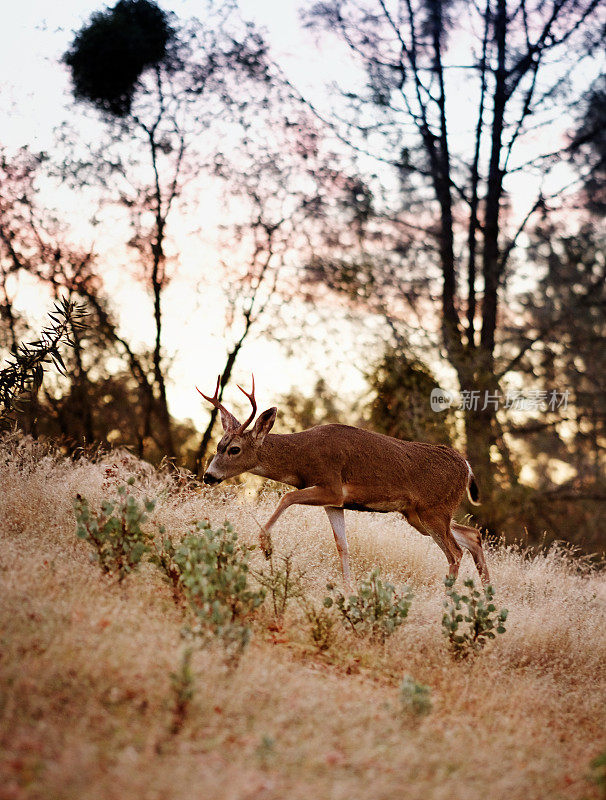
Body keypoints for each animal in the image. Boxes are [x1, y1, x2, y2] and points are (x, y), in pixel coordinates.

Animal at [200, 376, 494, 588]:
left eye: (234, 449)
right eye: (218, 445)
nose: (208, 476)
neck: (302, 457)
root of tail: (466, 466)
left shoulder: (331, 487)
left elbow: (287, 496)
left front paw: (266, 547)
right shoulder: (335, 503)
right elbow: (342, 545)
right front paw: (348, 590)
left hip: (434, 509)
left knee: (455, 552)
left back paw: (447, 603)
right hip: (417, 515)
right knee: (473, 535)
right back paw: (486, 597)